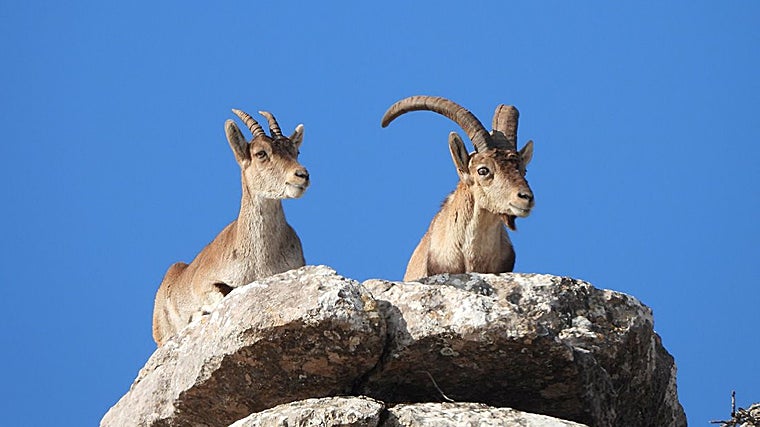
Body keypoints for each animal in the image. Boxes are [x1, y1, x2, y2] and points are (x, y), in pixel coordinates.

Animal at [152, 109, 310, 346]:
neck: (260, 260)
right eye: (261, 153)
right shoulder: (203, 282)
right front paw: (199, 313)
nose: (301, 175)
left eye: (296, 151)